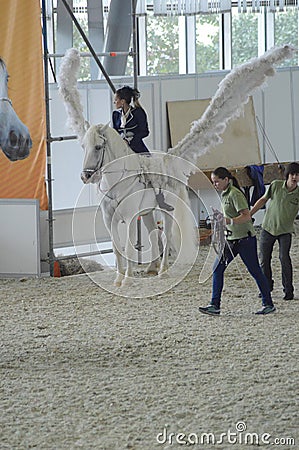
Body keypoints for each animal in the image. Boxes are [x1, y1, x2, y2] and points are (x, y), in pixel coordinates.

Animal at [58, 44, 296, 284]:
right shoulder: (110, 218)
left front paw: (127, 278)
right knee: (154, 233)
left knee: (167, 234)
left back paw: (163, 269)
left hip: (166, 209)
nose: (86, 176)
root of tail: (170, 158)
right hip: (148, 212)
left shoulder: (129, 215)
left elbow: (128, 246)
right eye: (83, 147)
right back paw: (152, 268)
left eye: (98, 147)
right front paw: (118, 280)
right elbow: (117, 248)